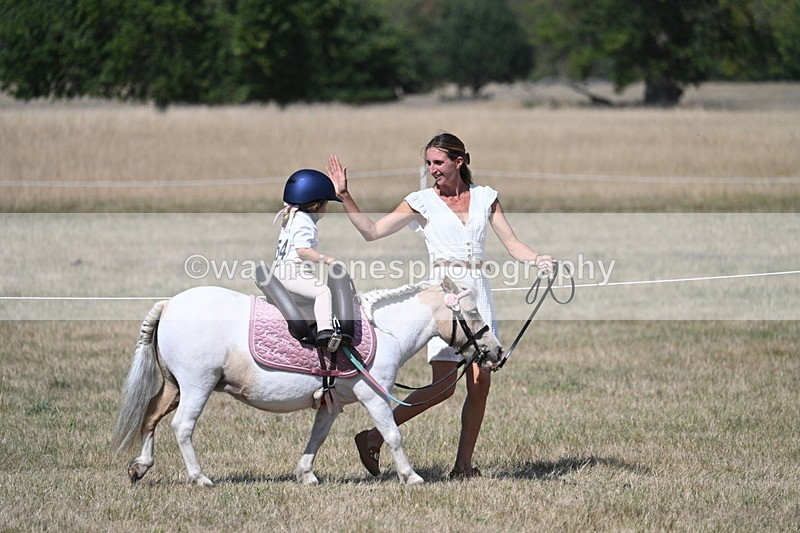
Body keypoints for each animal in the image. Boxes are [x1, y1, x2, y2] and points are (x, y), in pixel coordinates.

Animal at [112, 276, 503, 486]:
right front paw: (411, 476)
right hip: (197, 385)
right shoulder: (374, 398)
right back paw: (199, 477)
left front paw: (306, 474)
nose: (497, 352)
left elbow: (318, 435)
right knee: (182, 426)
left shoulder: (332, 403)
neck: (384, 331)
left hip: (175, 386)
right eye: (470, 312)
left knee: (151, 416)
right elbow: (393, 434)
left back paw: (139, 467)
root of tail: (170, 304)